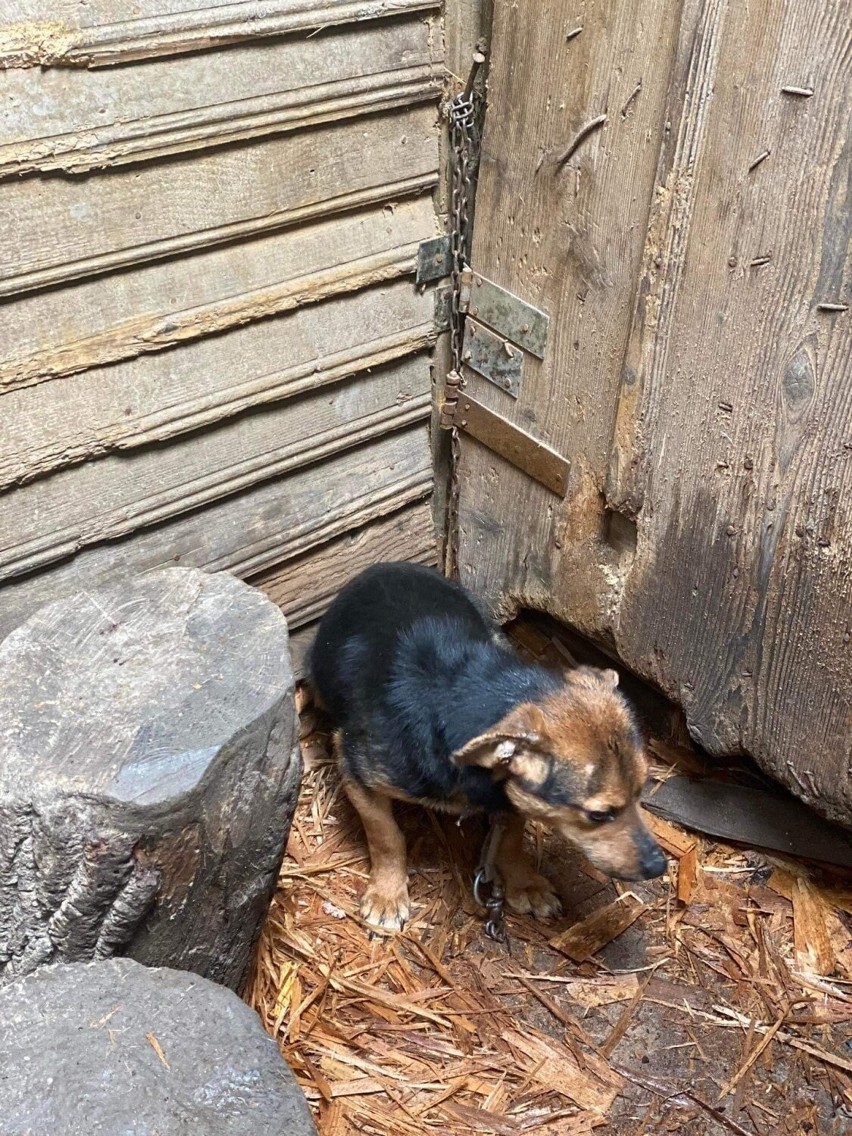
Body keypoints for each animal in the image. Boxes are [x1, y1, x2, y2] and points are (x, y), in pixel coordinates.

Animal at [306, 561, 667, 931]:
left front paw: (524, 882)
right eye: (599, 814)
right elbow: (386, 837)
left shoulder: (510, 798)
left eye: (642, 791)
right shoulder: (355, 768)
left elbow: (510, 839)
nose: (660, 866)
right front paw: (387, 895)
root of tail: (383, 566)